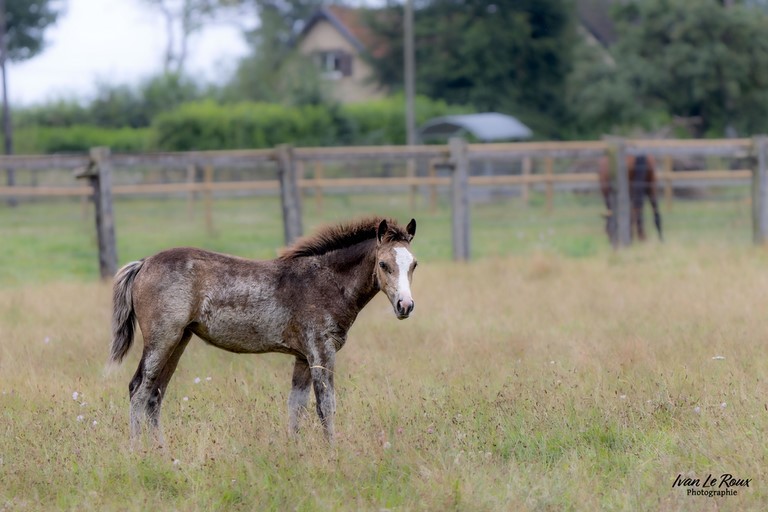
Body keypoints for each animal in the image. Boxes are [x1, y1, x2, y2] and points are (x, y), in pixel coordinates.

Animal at [109, 216, 418, 446]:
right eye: (383, 264)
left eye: (413, 264)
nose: (405, 305)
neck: (324, 281)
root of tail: (144, 263)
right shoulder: (321, 351)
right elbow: (326, 406)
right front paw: (333, 453)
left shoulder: (302, 357)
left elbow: (297, 407)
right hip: (162, 339)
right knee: (138, 389)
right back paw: (137, 452)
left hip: (179, 341)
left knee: (155, 394)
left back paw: (161, 451)